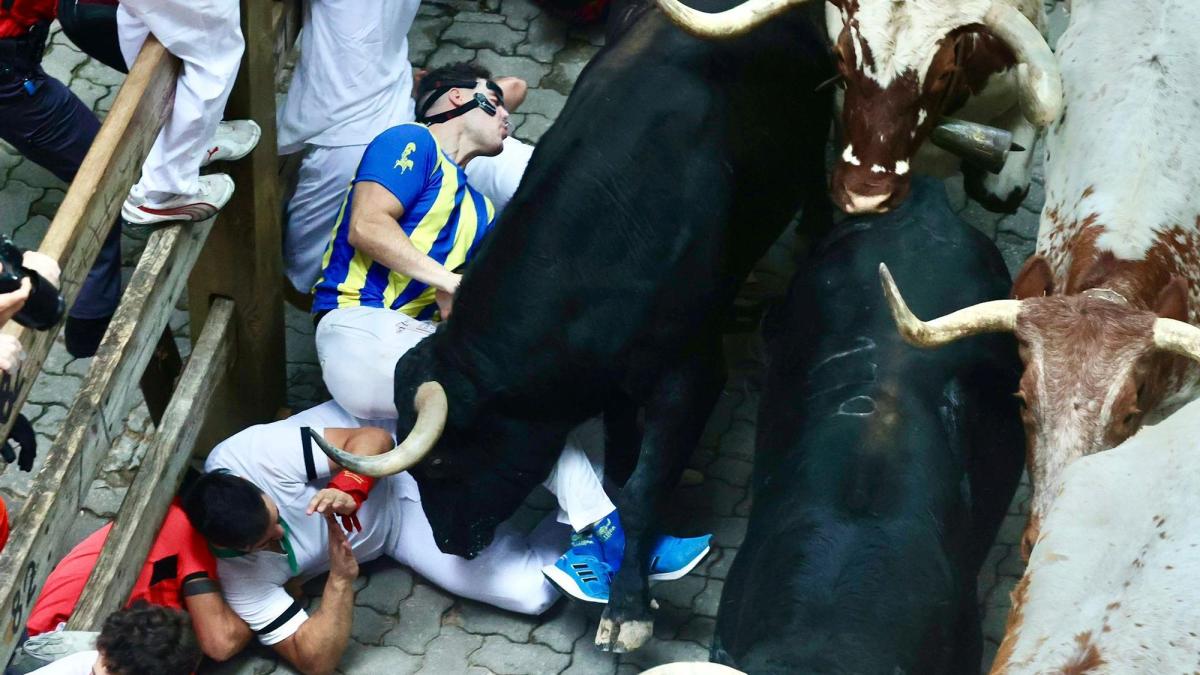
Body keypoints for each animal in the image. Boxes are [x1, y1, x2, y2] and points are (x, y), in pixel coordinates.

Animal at [314, 0, 830, 653]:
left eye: (437, 465)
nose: (449, 545)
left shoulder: (690, 373)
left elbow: (639, 492)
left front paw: (628, 609)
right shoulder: (612, 385)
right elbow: (620, 475)